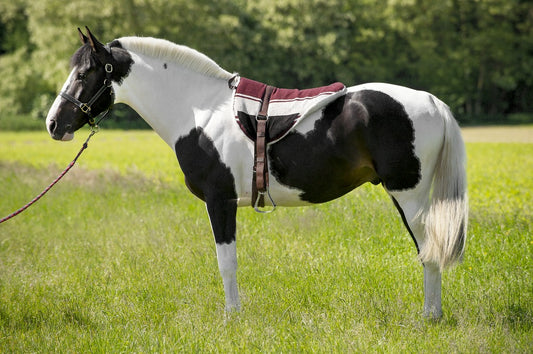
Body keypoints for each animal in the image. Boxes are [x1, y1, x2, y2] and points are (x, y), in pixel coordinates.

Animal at [45, 27, 466, 320]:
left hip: (409, 196)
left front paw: (232, 317)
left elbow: (226, 262)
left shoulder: (221, 201)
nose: (53, 124)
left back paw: (429, 317)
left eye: (84, 73)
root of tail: (430, 101)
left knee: (429, 252)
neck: (200, 110)